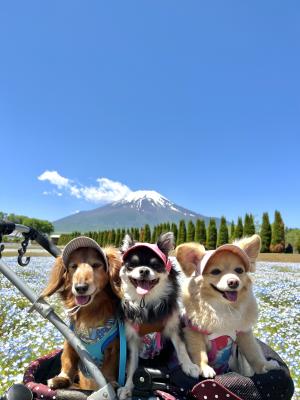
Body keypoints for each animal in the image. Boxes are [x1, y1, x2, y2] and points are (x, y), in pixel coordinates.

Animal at [42, 238, 122, 390]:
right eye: (73, 266)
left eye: (96, 265)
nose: (80, 288)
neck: (90, 311)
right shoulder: (71, 342)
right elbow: (67, 362)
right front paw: (62, 379)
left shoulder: (113, 349)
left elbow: (108, 369)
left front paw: (111, 383)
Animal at [176, 234, 278, 378]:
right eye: (215, 272)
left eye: (239, 270)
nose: (233, 282)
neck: (223, 306)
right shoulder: (194, 333)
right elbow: (200, 354)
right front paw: (204, 368)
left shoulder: (244, 333)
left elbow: (253, 353)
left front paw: (265, 365)